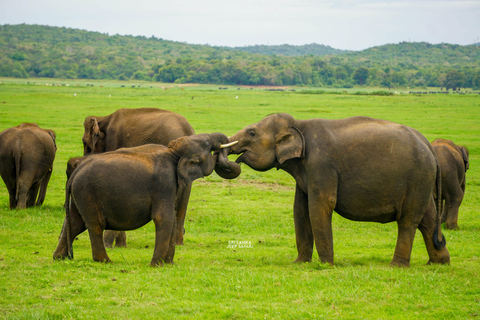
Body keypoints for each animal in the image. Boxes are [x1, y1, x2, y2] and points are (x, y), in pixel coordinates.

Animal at [225, 114, 450, 266]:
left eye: (252, 133)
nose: (230, 160)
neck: (299, 124)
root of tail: (429, 146)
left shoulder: (321, 164)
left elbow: (321, 205)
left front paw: (326, 265)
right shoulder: (305, 170)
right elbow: (300, 209)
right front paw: (299, 264)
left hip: (417, 177)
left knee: (408, 220)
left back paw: (396, 266)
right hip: (422, 181)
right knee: (427, 219)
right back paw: (438, 263)